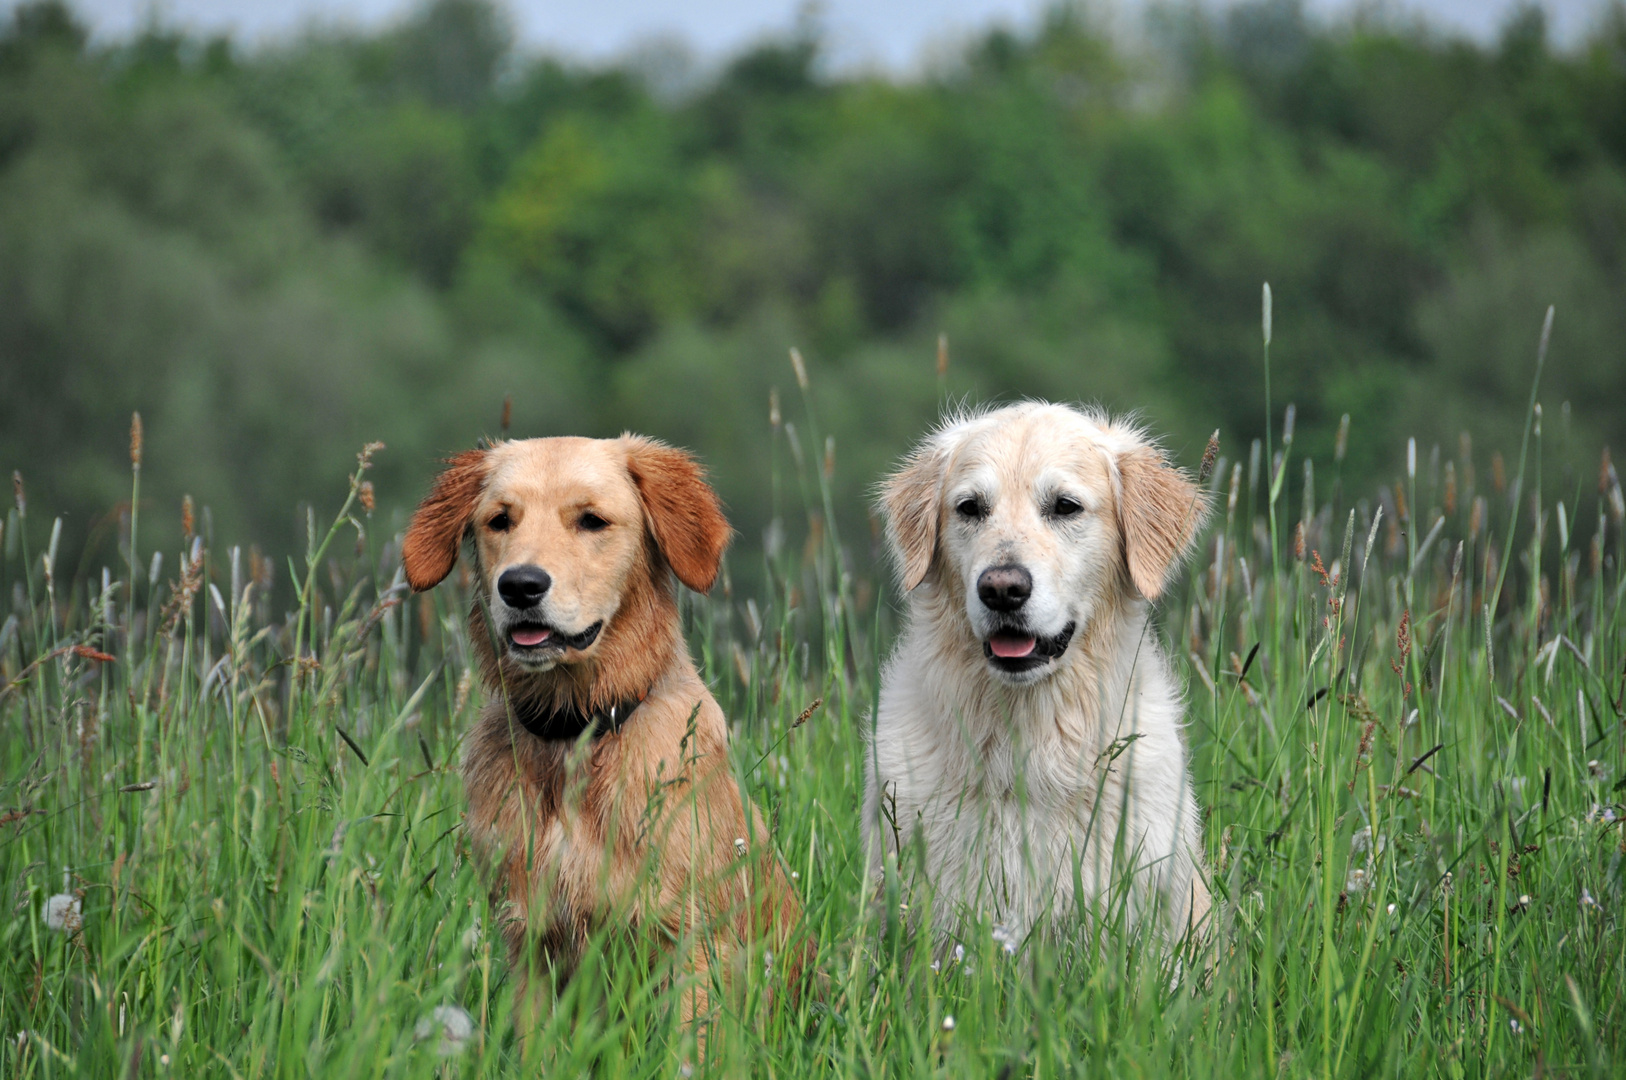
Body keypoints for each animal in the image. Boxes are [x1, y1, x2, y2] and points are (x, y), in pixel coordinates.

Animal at [403, 435, 803, 1027]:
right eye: (500, 520)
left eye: (592, 520)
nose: (520, 585)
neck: (576, 731)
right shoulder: (531, 942)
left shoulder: (690, 941)